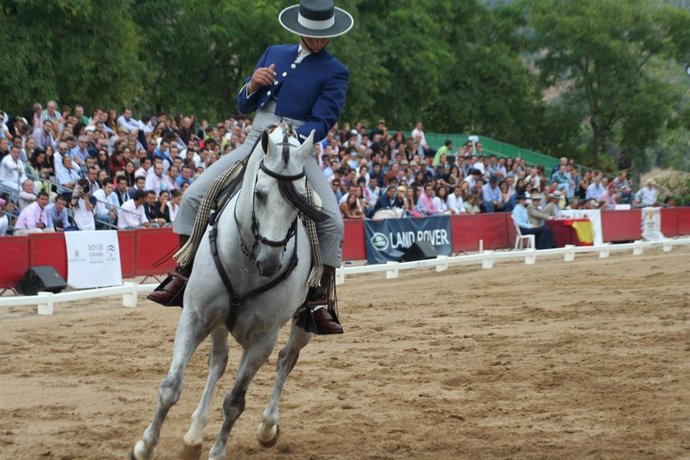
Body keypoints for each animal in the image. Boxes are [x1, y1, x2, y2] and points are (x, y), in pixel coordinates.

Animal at [132, 124, 328, 460]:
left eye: (300, 202)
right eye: (260, 193)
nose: (271, 262)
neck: (248, 261)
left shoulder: (263, 339)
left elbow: (235, 402)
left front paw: (217, 451)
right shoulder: (196, 316)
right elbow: (171, 387)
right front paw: (145, 447)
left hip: (302, 325)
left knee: (286, 359)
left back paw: (267, 427)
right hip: (218, 322)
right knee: (219, 362)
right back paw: (194, 435)